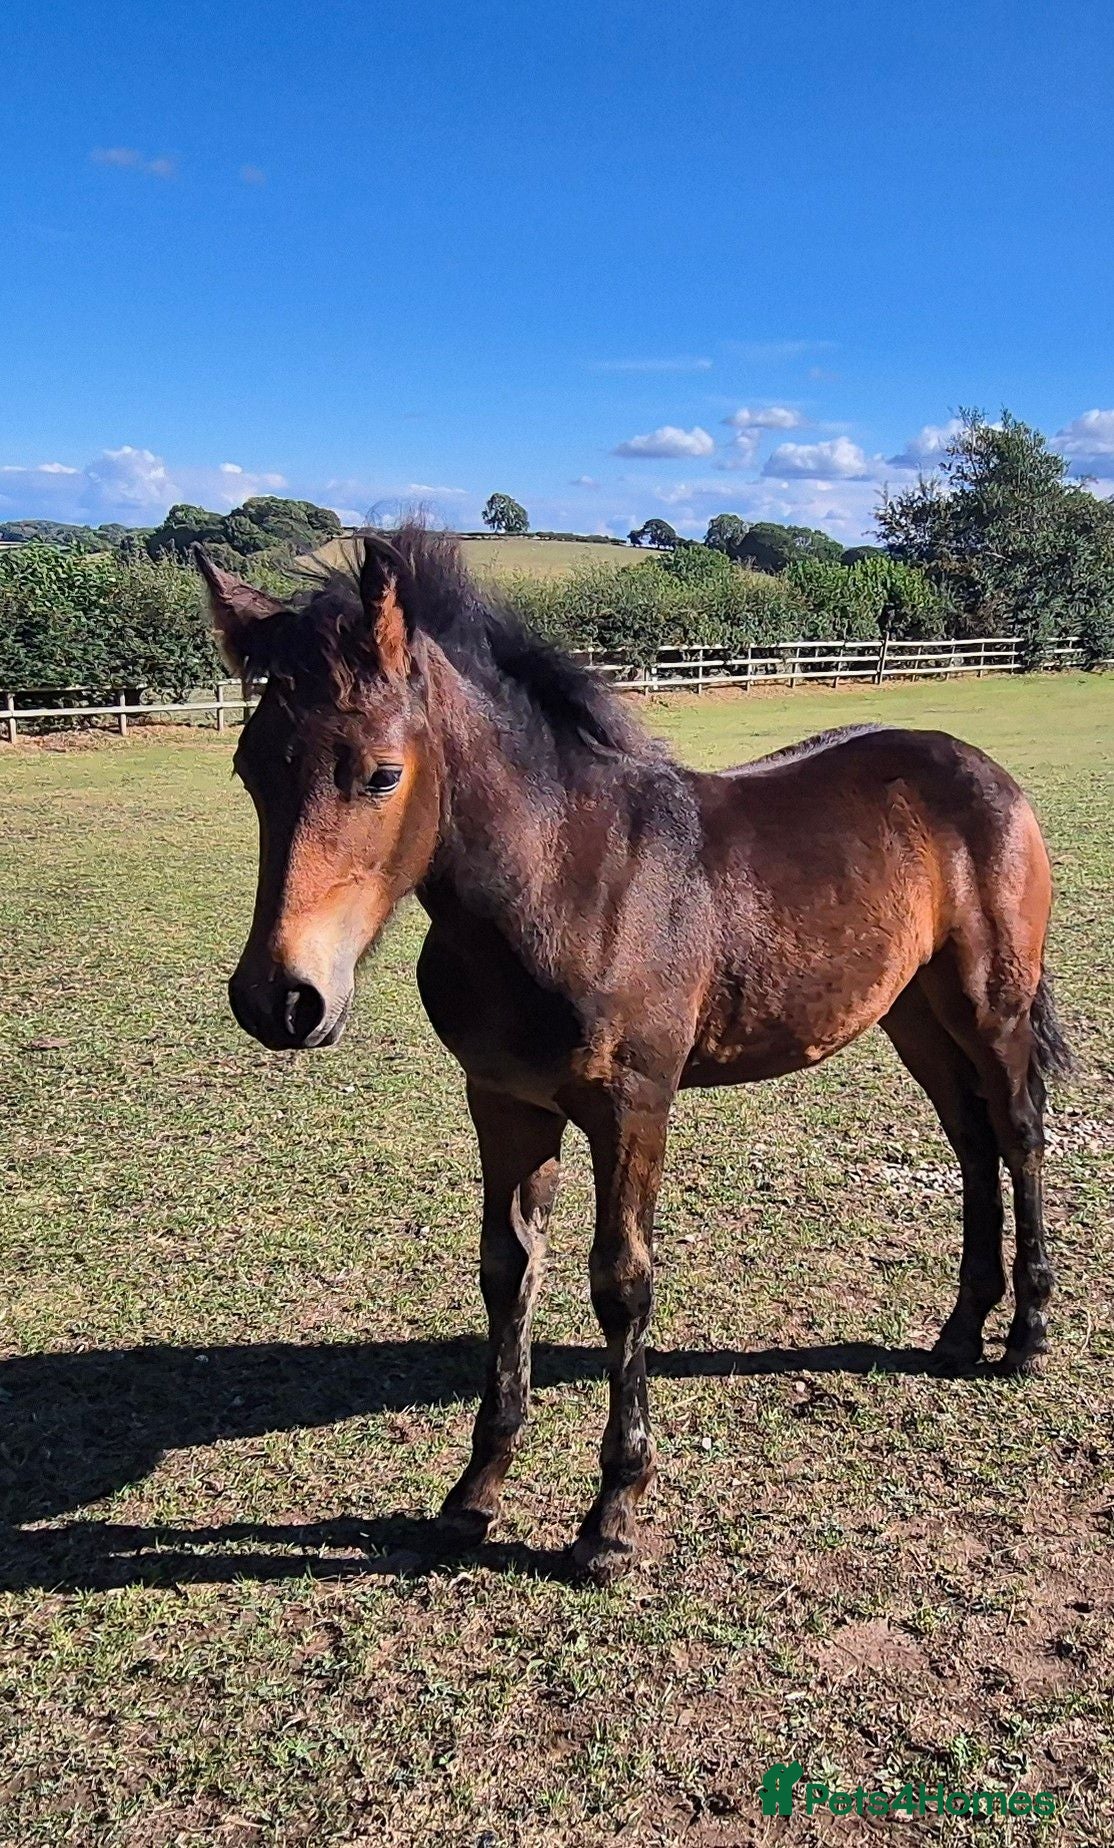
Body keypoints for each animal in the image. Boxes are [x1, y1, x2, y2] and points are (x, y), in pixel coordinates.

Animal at [196, 527, 1071, 1583]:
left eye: (381, 773)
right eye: (248, 769)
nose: (281, 999)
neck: (562, 882)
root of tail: (982, 769)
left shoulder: (634, 1104)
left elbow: (621, 1282)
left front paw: (613, 1514)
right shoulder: (503, 1101)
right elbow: (507, 1270)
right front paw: (473, 1495)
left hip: (991, 1005)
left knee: (1017, 1131)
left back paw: (1026, 1335)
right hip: (912, 1013)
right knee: (969, 1141)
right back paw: (958, 1330)